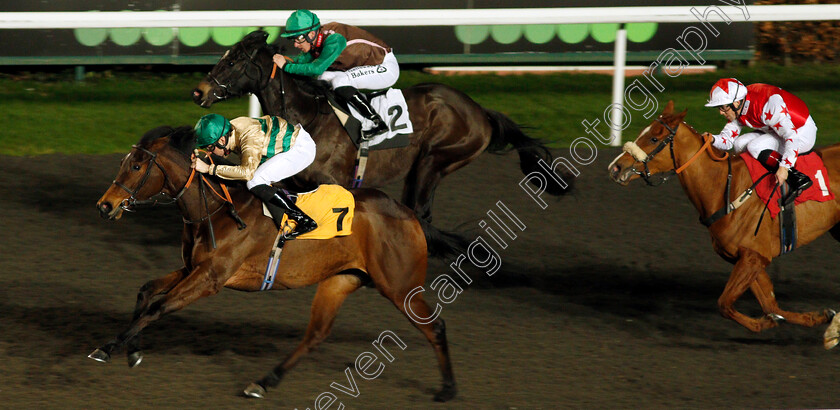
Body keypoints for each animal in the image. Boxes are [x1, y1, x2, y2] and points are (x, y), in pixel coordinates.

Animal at [91, 125, 456, 400]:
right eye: (124, 161)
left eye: (136, 166)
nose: (105, 206)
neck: (215, 209)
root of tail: (409, 215)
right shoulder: (192, 268)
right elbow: (146, 291)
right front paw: (131, 350)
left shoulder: (210, 278)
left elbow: (158, 306)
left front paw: (108, 347)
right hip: (341, 280)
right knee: (316, 334)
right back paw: (263, 382)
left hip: (399, 285)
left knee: (435, 326)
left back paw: (447, 389)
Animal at [190, 29, 572, 253]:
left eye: (234, 61)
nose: (199, 91)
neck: (309, 117)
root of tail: (480, 111)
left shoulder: (335, 182)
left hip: (435, 160)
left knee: (421, 214)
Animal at [608, 100, 840, 346]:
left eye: (653, 138)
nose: (615, 168)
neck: (726, 189)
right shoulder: (745, 258)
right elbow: (770, 305)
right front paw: (821, 319)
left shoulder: (752, 258)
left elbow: (724, 303)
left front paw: (771, 322)